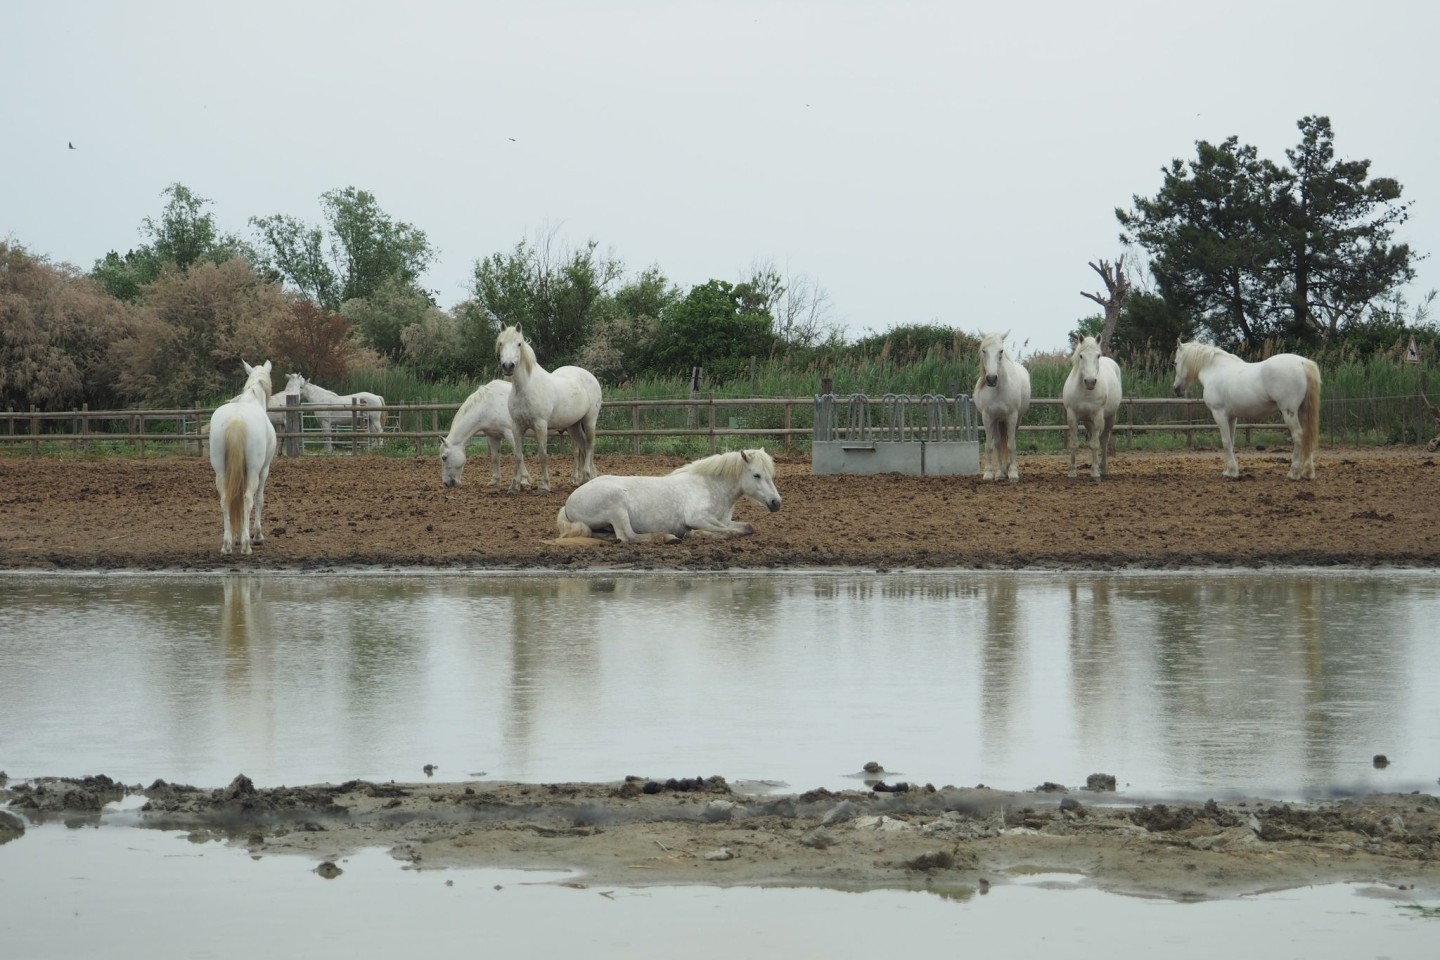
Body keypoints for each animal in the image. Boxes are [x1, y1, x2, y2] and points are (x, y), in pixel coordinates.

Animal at [208, 359, 277, 555]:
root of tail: (236, 419)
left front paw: (236, 537)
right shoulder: (263, 470)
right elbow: (259, 499)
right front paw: (257, 536)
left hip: (221, 470)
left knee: (225, 499)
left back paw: (227, 544)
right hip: (254, 470)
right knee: (248, 499)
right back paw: (246, 545)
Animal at [498, 328, 604, 500]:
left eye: (519, 344)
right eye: (501, 343)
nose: (508, 366)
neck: (525, 388)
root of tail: (591, 376)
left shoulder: (540, 425)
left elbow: (542, 455)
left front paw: (544, 486)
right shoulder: (516, 426)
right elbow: (518, 455)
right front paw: (514, 487)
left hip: (589, 421)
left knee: (589, 445)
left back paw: (587, 475)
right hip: (574, 426)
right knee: (582, 446)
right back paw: (588, 479)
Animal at [552, 449, 783, 544]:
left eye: (771, 475)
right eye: (756, 475)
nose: (776, 503)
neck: (709, 487)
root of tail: (568, 503)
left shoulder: (724, 521)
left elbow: (746, 528)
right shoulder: (698, 518)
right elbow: (729, 533)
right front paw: (694, 534)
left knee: (607, 536)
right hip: (617, 507)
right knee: (628, 537)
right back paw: (667, 537)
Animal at [973, 331, 1031, 480]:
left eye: (1001, 351)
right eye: (984, 350)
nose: (991, 379)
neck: (998, 390)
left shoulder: (1012, 417)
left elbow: (1011, 445)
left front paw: (1013, 473)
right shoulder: (987, 418)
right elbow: (990, 445)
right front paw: (989, 473)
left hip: (1015, 420)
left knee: (1009, 440)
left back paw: (1008, 468)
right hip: (998, 421)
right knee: (999, 444)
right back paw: (1000, 472)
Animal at [1175, 341, 1319, 483]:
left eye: (1176, 362)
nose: (1176, 389)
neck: (1215, 370)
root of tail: (1303, 363)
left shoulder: (1219, 414)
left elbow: (1225, 442)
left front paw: (1231, 473)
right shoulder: (1231, 417)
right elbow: (1231, 442)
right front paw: (1229, 471)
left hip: (1289, 412)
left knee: (1299, 436)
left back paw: (1293, 473)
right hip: (1301, 412)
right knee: (1307, 436)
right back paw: (1307, 473)